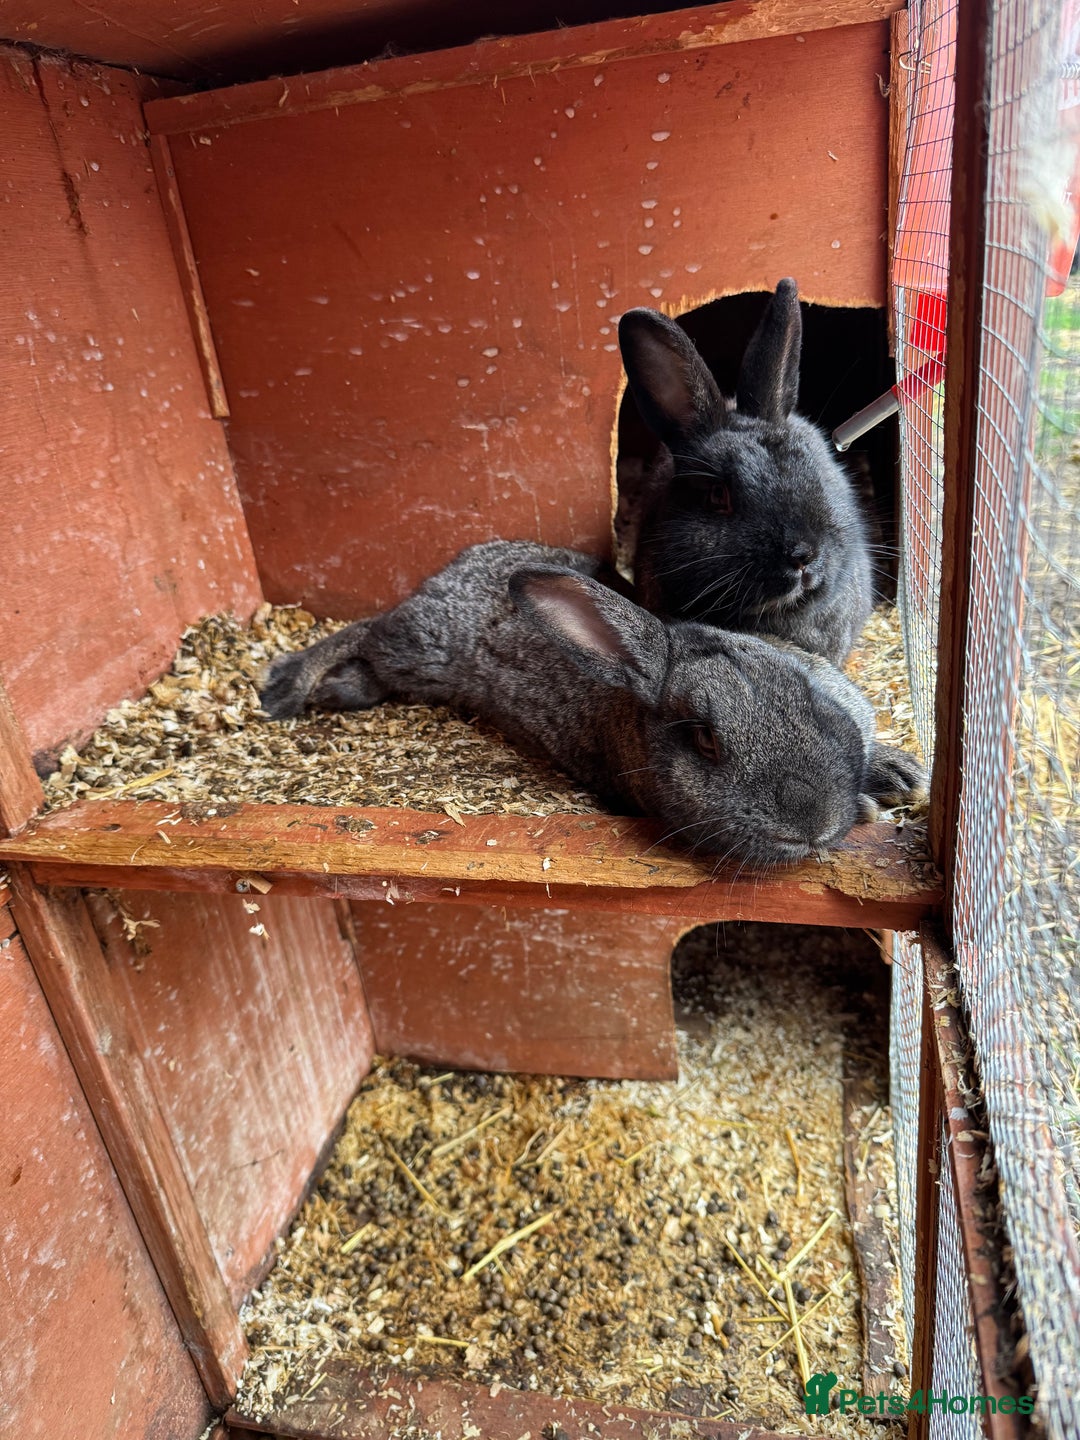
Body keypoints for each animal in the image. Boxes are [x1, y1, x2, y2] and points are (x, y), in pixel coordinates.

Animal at [260, 540, 925, 869]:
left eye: (806, 692)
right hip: (418, 647)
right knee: (366, 631)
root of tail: (455, 565)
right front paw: (874, 805)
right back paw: (293, 686)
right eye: (704, 738)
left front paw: (899, 775)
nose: (812, 826)